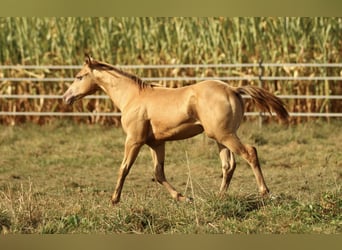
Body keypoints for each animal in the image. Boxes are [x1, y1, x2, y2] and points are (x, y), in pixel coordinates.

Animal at [62, 55, 288, 205]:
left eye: (79, 76)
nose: (66, 98)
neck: (133, 97)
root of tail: (233, 89)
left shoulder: (134, 140)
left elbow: (124, 168)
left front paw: (114, 199)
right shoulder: (156, 143)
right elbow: (158, 173)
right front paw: (183, 197)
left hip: (225, 135)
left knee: (250, 153)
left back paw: (265, 193)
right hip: (220, 137)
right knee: (228, 165)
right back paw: (219, 196)